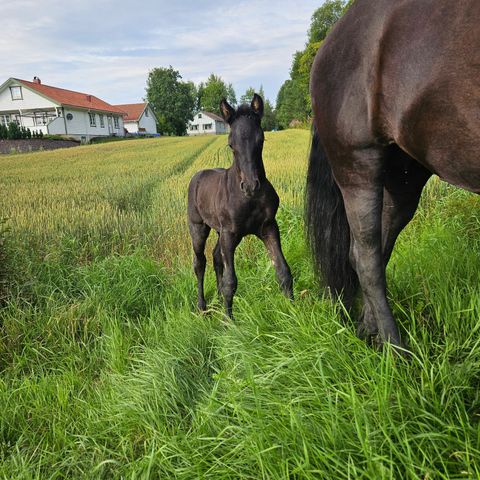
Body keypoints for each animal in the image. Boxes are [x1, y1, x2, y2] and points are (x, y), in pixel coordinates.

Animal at [188, 95, 292, 316]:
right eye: (230, 144)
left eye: (261, 140)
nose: (251, 186)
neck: (248, 199)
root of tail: (197, 175)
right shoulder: (230, 233)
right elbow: (231, 282)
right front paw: (229, 321)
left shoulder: (268, 227)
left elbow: (283, 271)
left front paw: (292, 312)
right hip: (198, 227)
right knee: (199, 263)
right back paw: (202, 307)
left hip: (219, 231)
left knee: (216, 256)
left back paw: (218, 300)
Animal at [308, 0, 480, 348]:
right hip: (358, 167)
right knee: (367, 258)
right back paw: (395, 349)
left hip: (403, 178)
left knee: (373, 250)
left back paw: (369, 334)